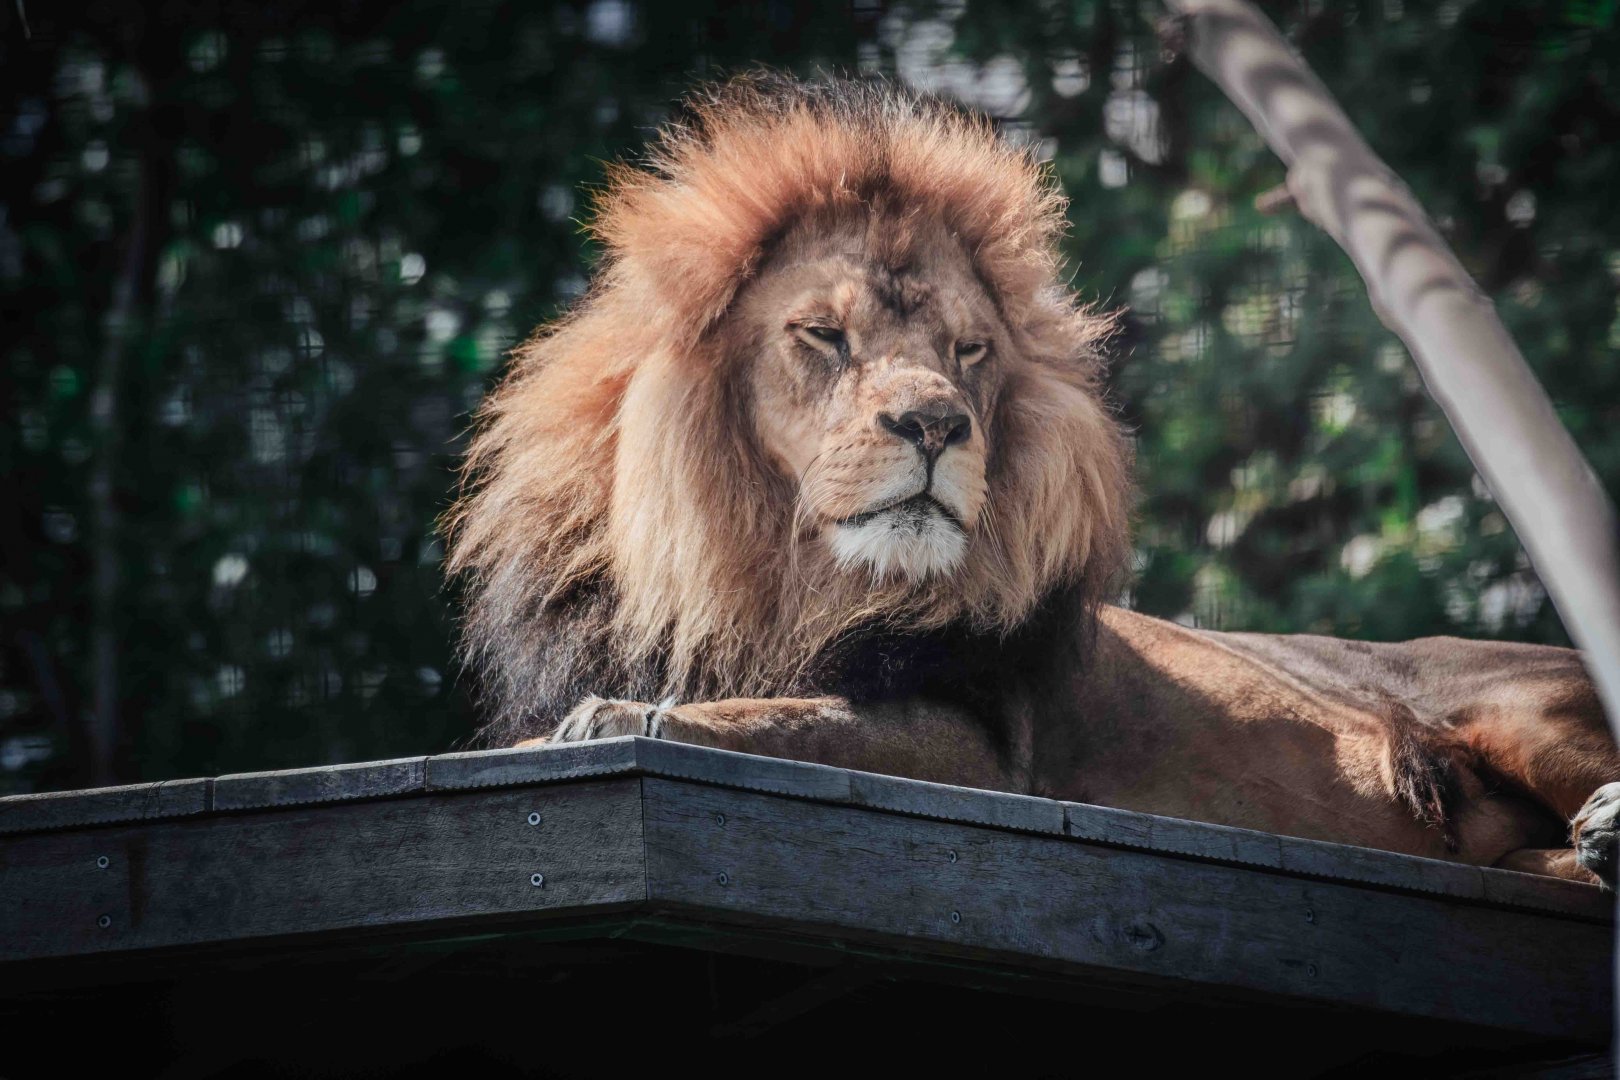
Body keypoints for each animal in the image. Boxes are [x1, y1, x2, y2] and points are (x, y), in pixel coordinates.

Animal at [444, 75, 1620, 887]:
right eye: (824, 334)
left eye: (968, 351)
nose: (936, 423)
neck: (766, 582)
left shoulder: (983, 749)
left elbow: (784, 717)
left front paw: (625, 716)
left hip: (1519, 709)